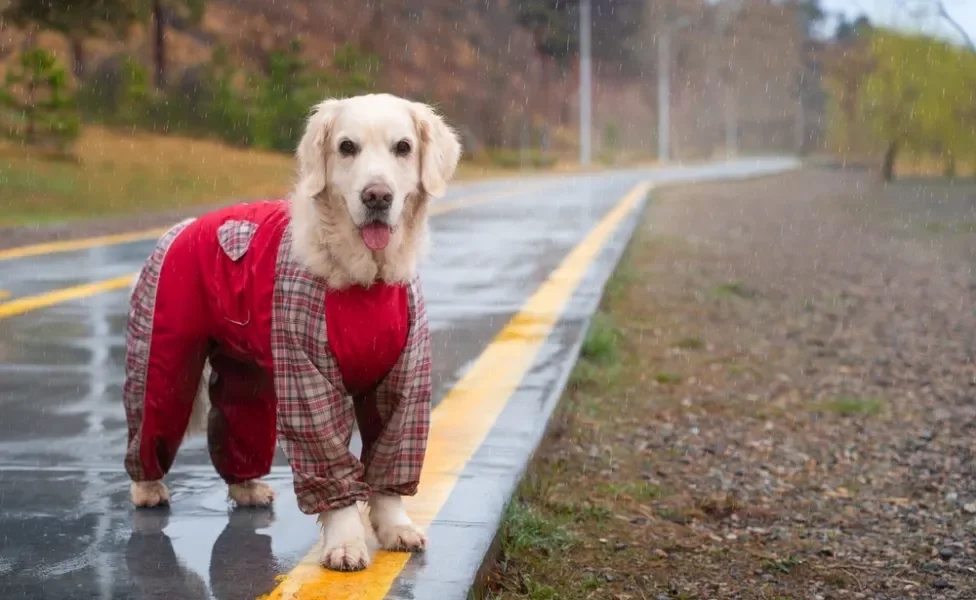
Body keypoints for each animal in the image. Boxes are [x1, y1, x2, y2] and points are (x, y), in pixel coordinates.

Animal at [125, 91, 462, 568]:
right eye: (346, 147)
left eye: (403, 147)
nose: (377, 196)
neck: (365, 281)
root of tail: (181, 227)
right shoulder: (307, 376)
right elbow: (329, 460)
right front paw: (345, 543)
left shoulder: (403, 377)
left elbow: (390, 458)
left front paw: (396, 527)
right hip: (166, 356)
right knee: (151, 418)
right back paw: (148, 487)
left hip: (248, 375)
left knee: (237, 420)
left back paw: (247, 486)